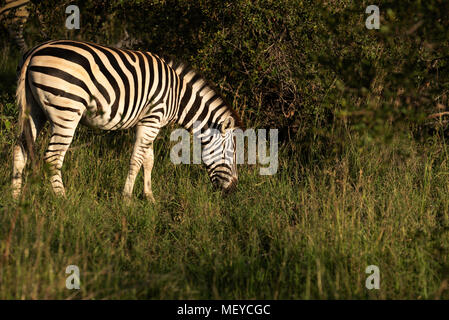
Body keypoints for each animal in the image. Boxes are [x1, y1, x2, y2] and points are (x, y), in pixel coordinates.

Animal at [12, 39, 242, 200]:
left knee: (19, 149)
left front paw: (149, 197)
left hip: (34, 111)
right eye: (231, 154)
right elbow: (136, 160)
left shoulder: (147, 121)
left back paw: (15, 199)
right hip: (67, 110)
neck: (178, 96)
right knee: (53, 157)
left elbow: (148, 160)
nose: (233, 191)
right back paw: (62, 199)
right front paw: (127, 198)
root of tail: (34, 52)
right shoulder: (152, 119)